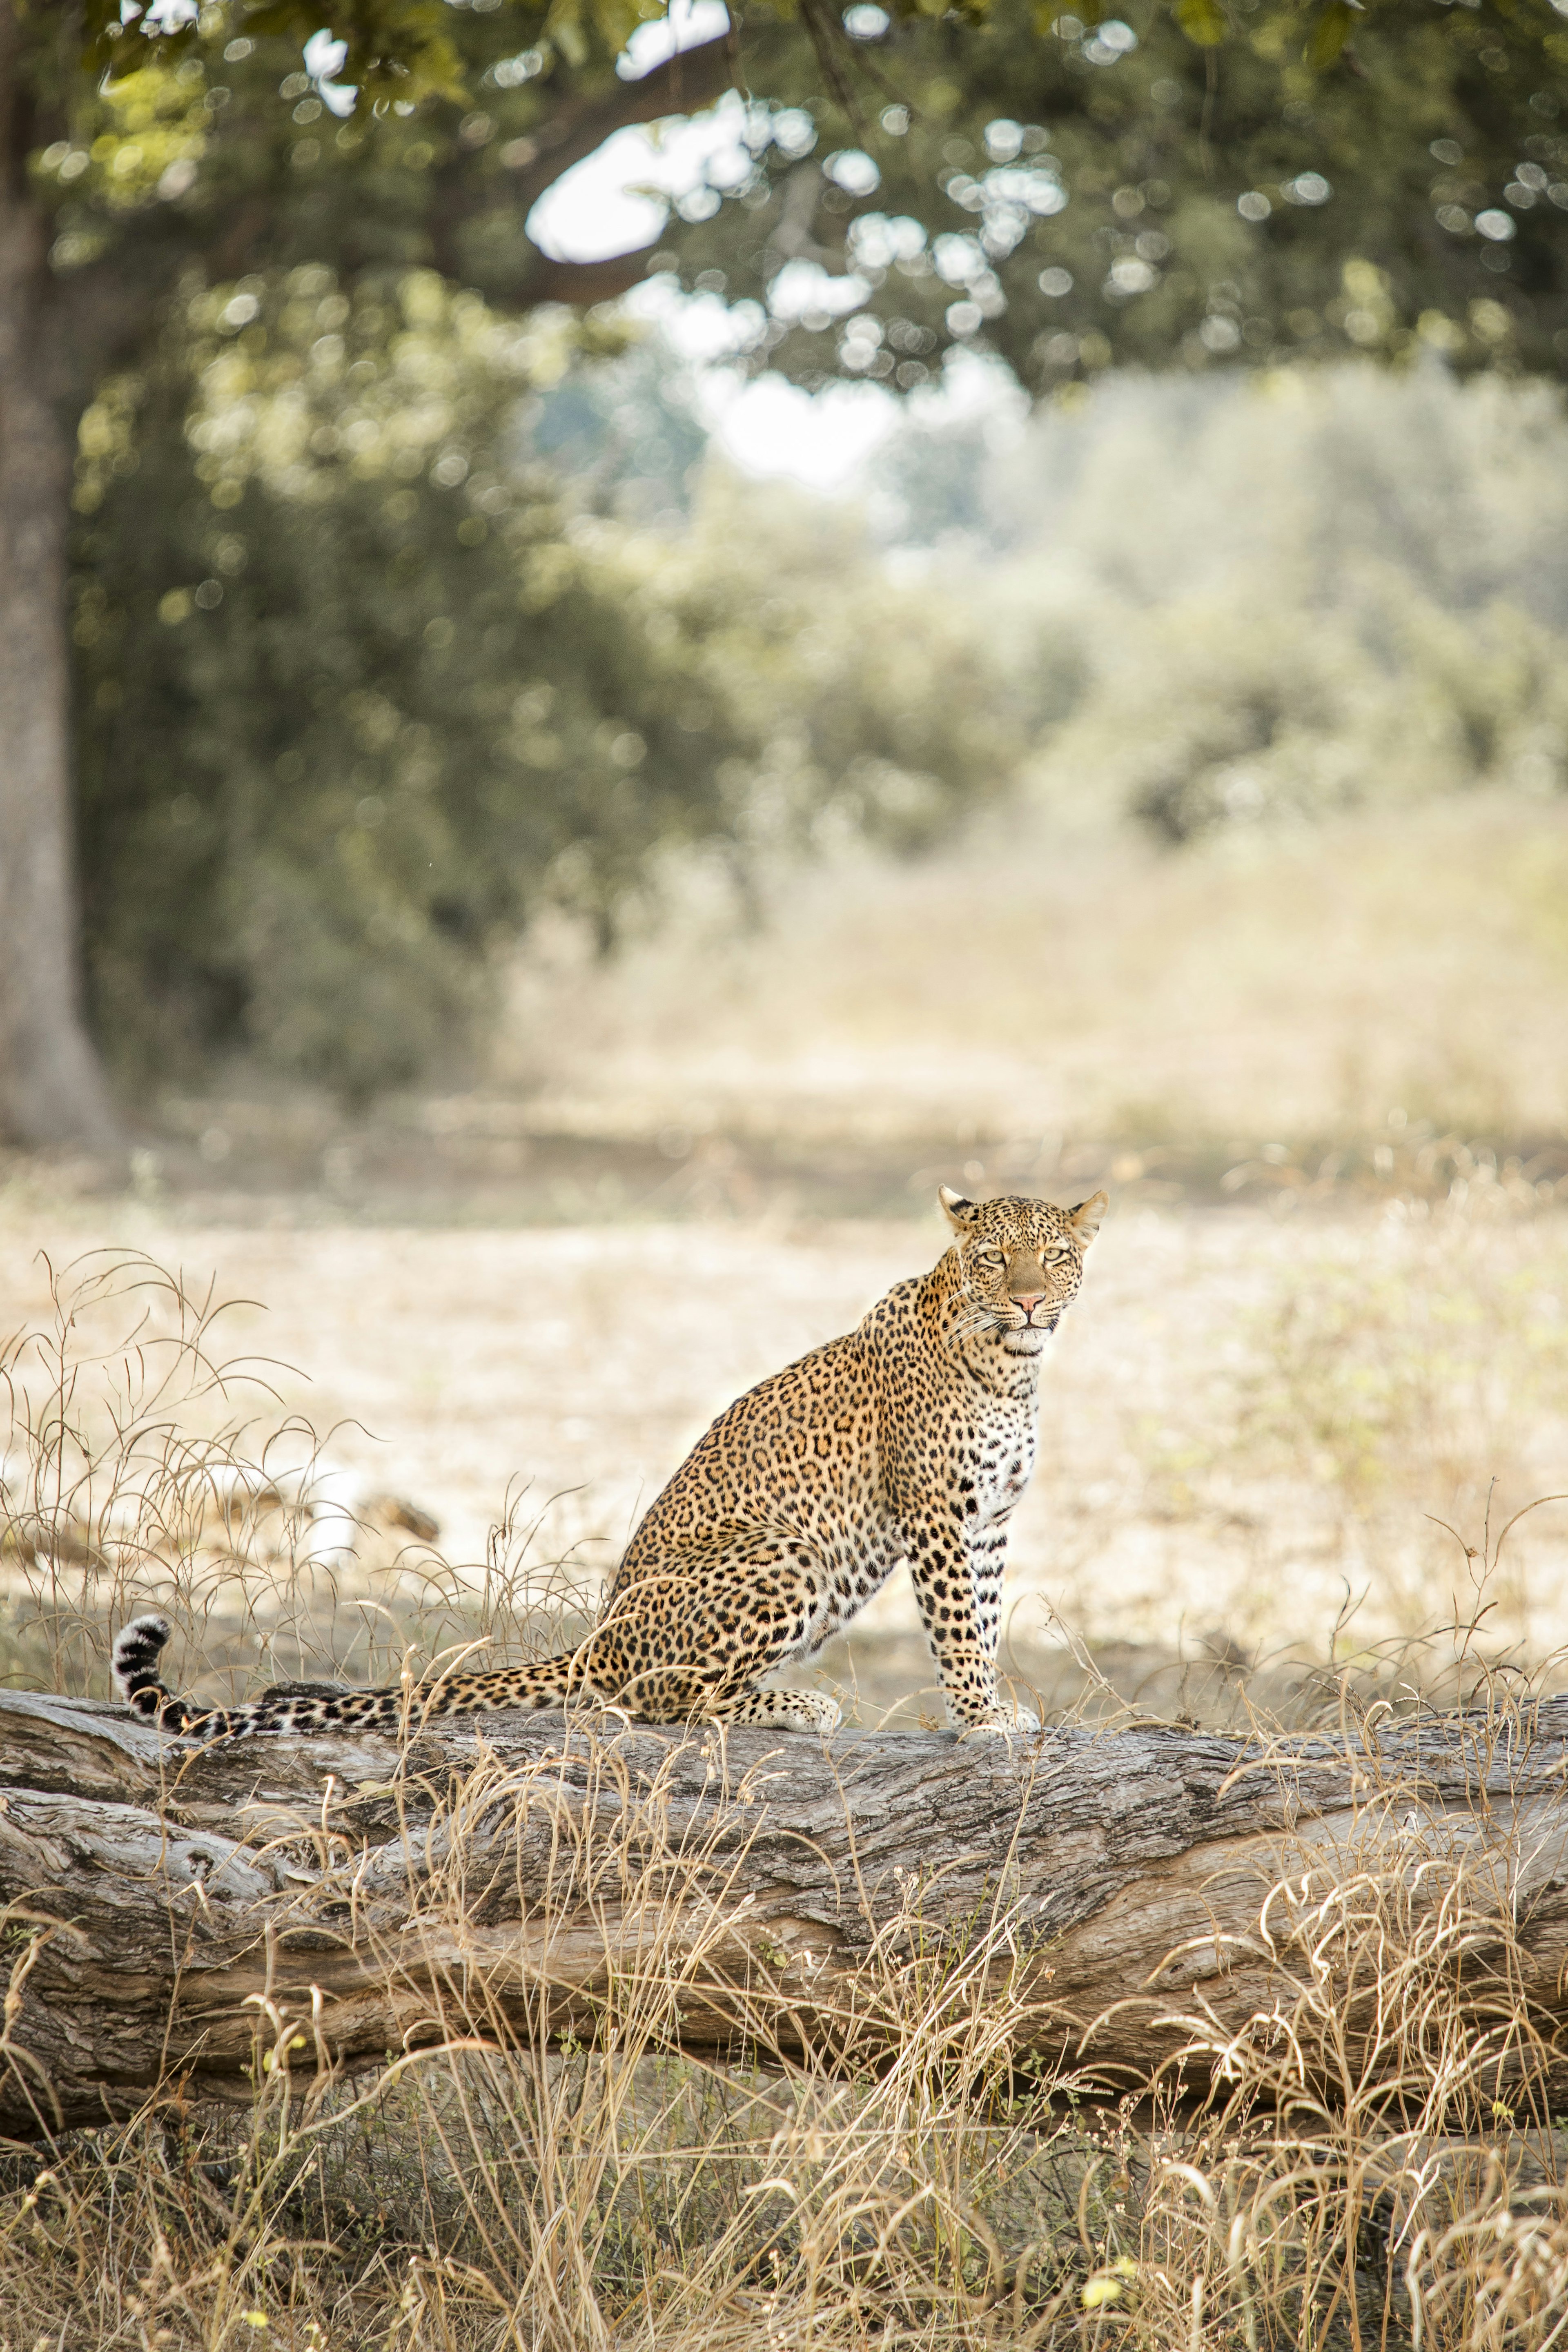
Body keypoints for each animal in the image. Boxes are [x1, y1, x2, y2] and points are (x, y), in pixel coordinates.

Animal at [113, 1185, 1105, 1740]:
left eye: (1055, 1257)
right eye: (994, 1259)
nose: (1028, 1301)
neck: (1011, 1368)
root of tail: (596, 1637)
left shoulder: (990, 1520)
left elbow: (986, 1618)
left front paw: (998, 1707)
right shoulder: (937, 1514)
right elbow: (958, 1629)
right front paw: (980, 1721)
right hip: (787, 1554)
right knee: (653, 1698)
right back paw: (795, 1707)